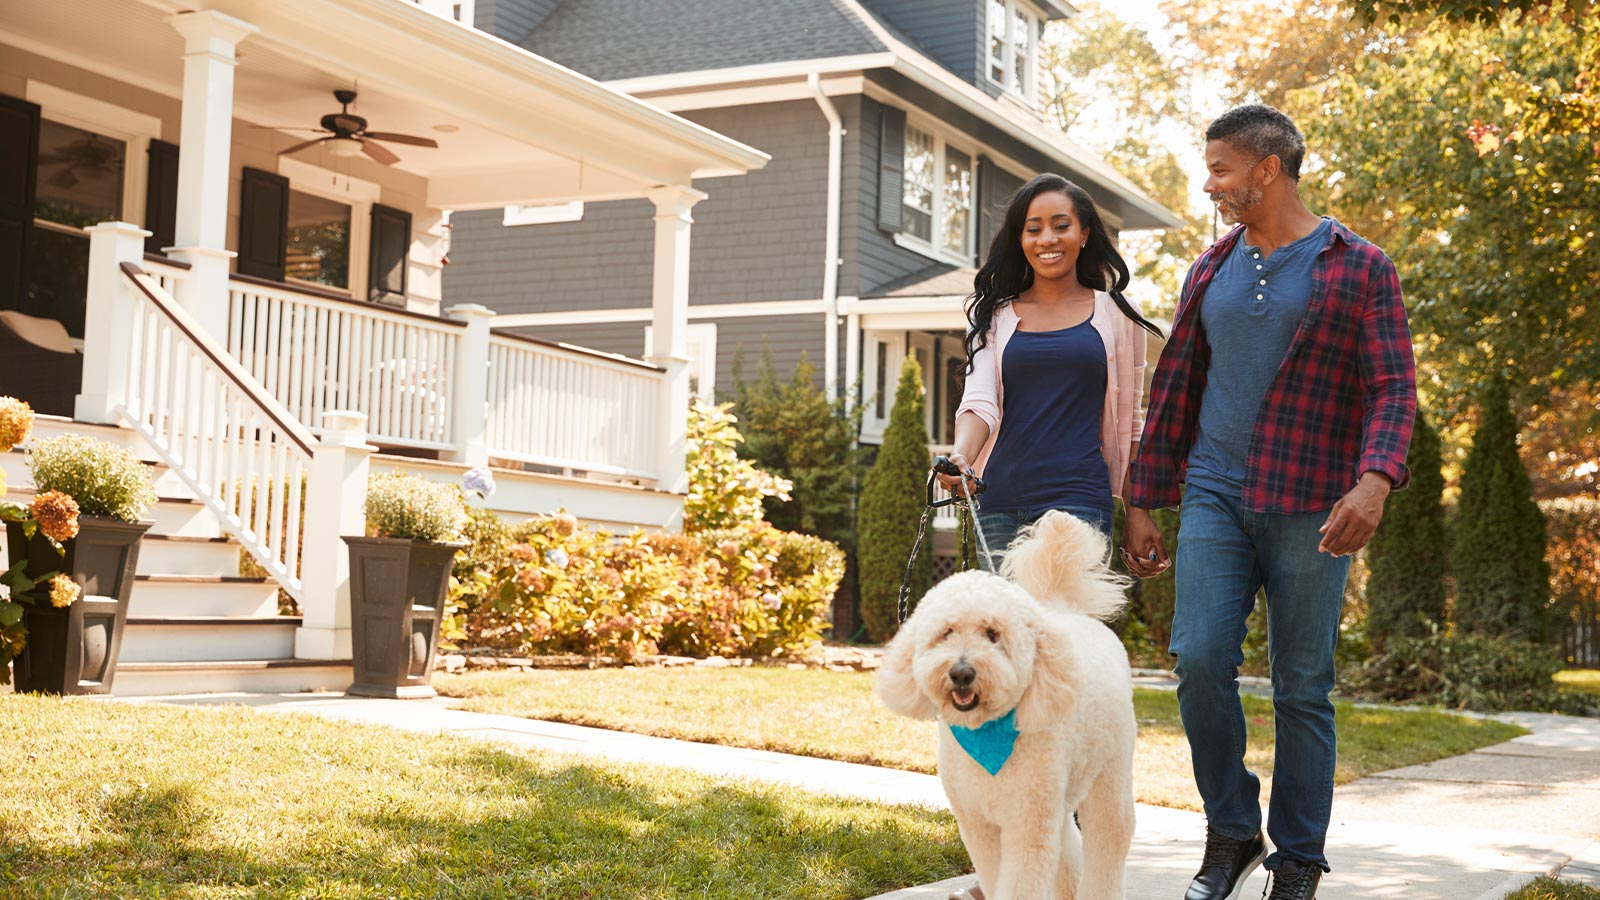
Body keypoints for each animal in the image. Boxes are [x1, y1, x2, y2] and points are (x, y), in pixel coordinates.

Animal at [876, 512, 1139, 896]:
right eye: (946, 632)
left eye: (993, 634)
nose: (962, 673)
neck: (985, 733)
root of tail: (1066, 611)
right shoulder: (979, 825)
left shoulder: (1027, 825)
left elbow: (1021, 883)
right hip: (1057, 798)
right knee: (1067, 846)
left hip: (1109, 774)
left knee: (1109, 840)